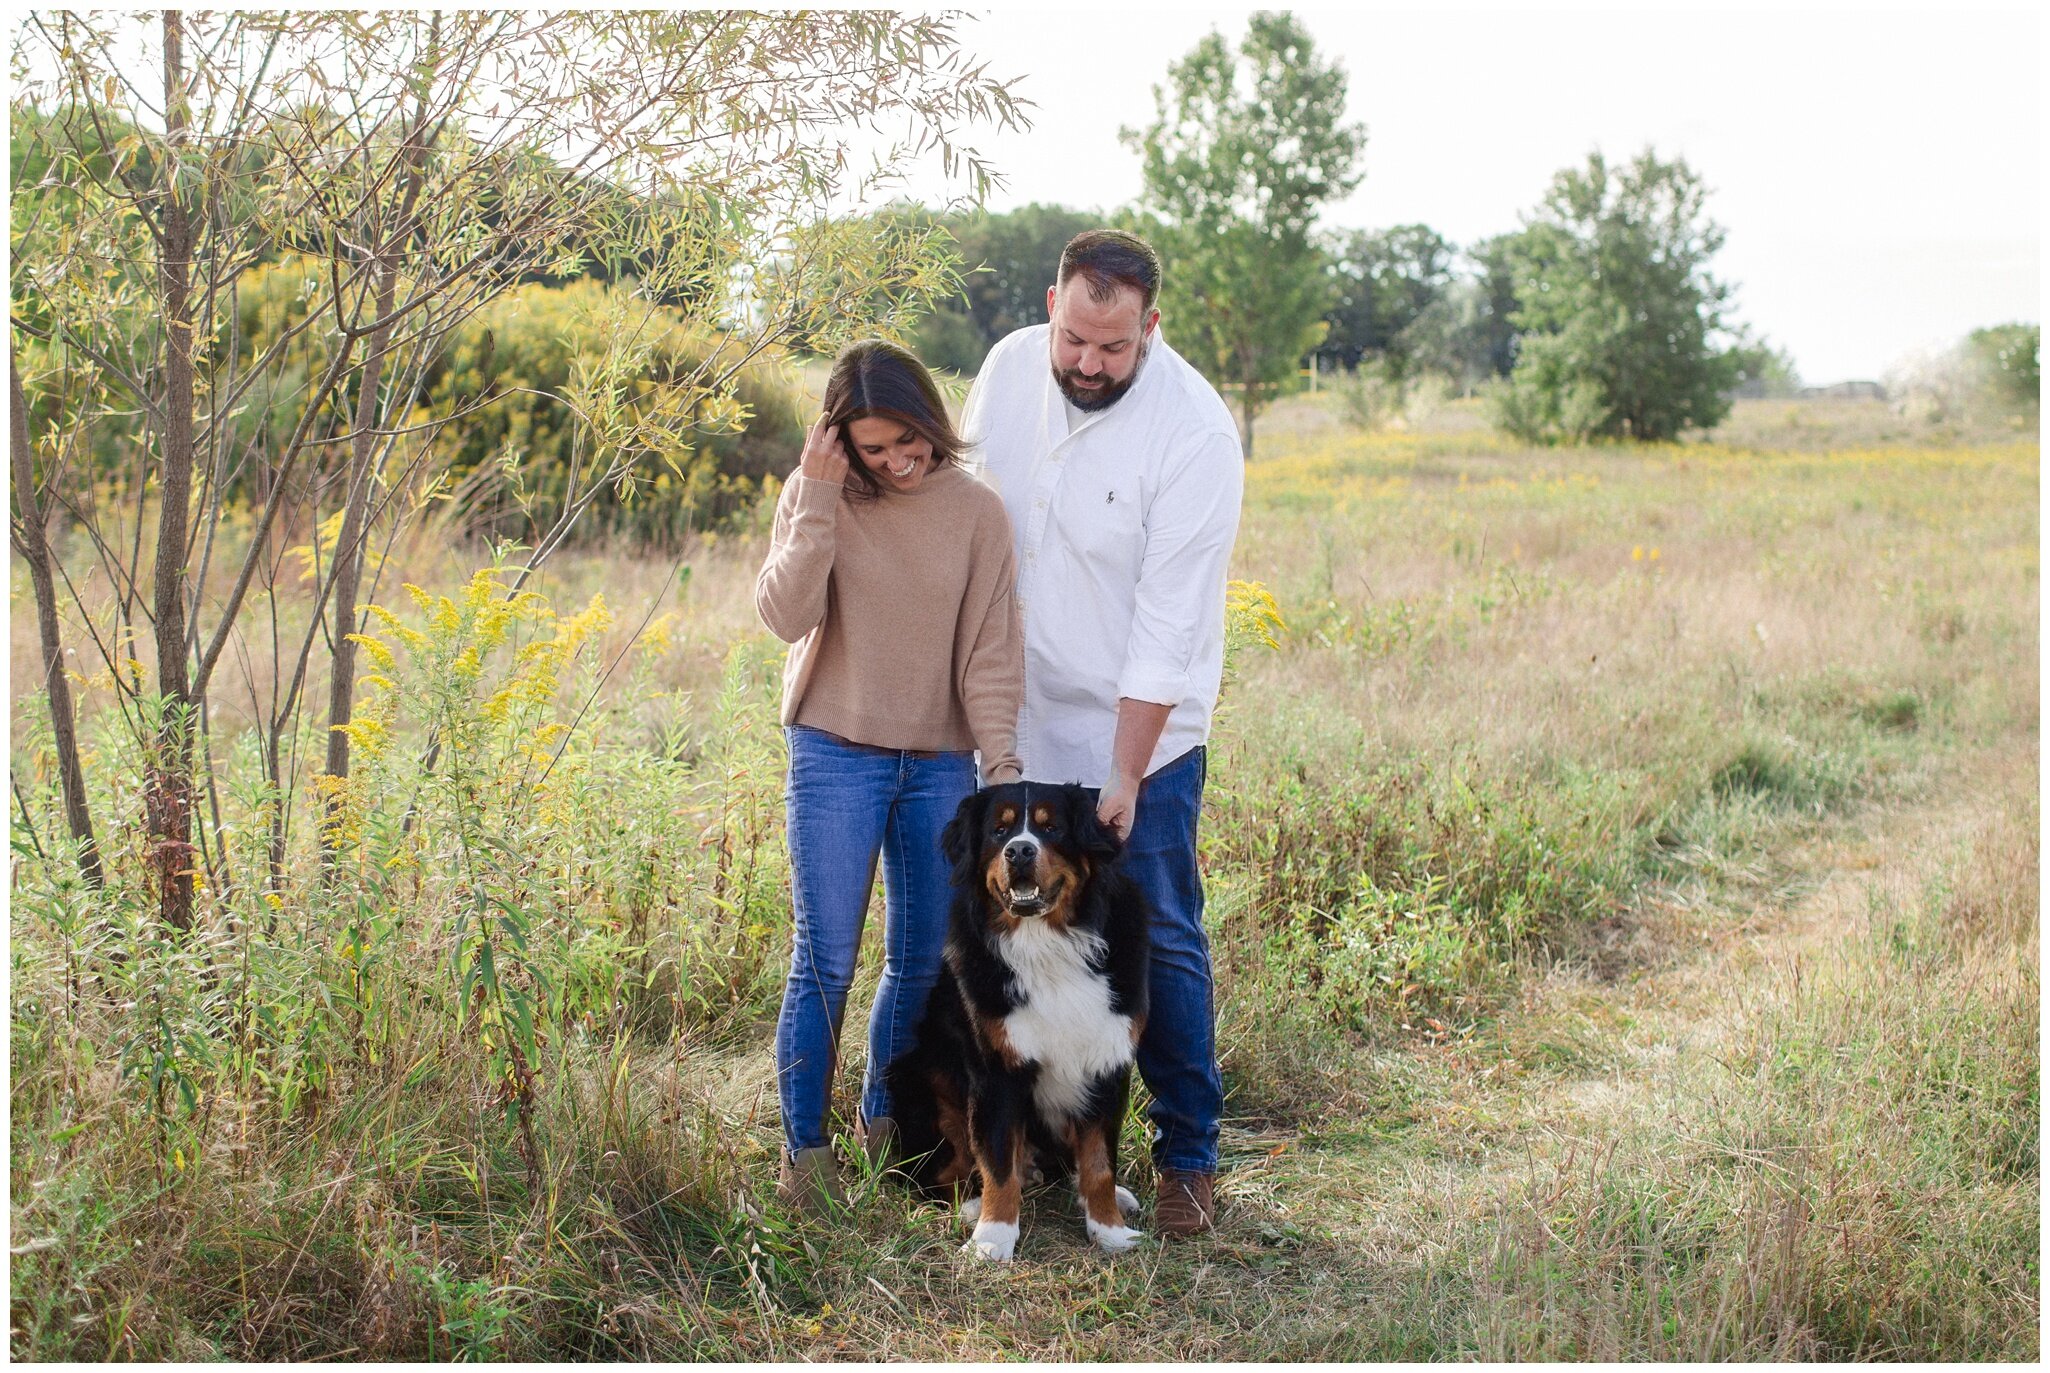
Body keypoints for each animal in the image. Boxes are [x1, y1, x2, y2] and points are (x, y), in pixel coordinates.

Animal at [885, 778, 1156, 1262]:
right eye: (999, 831)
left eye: (1051, 829)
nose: (1020, 852)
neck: (1047, 943)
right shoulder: (996, 1070)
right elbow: (996, 1162)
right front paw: (993, 1237)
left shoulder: (1107, 1060)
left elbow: (1099, 1163)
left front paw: (1109, 1231)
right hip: (920, 1076)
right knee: (938, 1172)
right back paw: (971, 1204)